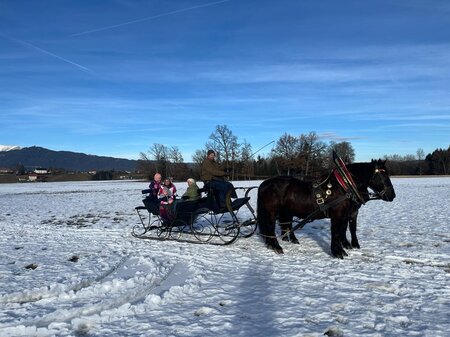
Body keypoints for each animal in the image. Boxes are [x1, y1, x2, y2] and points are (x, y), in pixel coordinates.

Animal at [258, 159, 396, 258]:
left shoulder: (347, 214)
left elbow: (343, 230)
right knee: (271, 227)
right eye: (382, 176)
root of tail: (265, 183)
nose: (392, 195)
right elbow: (336, 232)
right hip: (272, 211)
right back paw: (276, 246)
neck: (344, 186)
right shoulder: (338, 215)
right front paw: (338, 252)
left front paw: (345, 247)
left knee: (283, 224)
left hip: (284, 211)